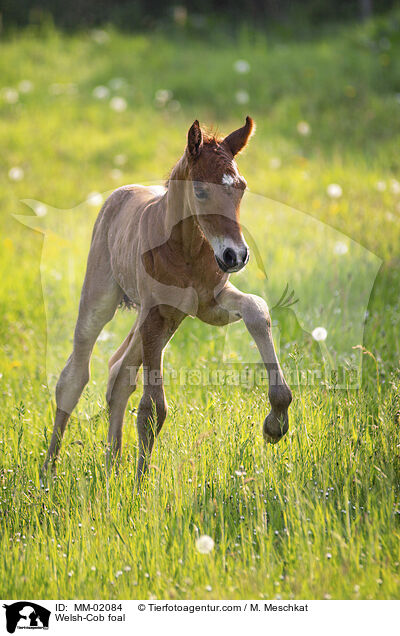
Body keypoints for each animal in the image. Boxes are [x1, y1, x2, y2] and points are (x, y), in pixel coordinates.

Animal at [42, 115, 292, 482]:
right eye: (200, 191)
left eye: (241, 187)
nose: (236, 255)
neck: (186, 249)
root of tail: (122, 193)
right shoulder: (156, 313)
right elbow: (152, 408)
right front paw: (139, 487)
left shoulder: (209, 304)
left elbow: (257, 309)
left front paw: (276, 420)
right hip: (103, 300)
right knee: (74, 376)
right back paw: (49, 470)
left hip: (169, 319)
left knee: (119, 371)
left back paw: (111, 465)